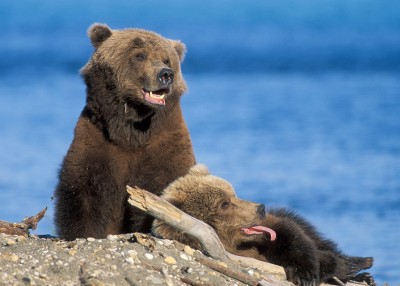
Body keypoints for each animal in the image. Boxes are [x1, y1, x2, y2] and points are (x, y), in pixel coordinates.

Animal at [54, 23, 195, 240]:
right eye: (140, 55)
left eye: (166, 59)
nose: (166, 74)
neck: (131, 132)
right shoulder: (97, 141)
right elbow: (83, 193)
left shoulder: (166, 144)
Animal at [153, 165, 376, 286]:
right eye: (224, 203)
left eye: (233, 193)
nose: (260, 207)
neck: (236, 244)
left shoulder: (270, 229)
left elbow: (292, 237)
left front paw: (306, 273)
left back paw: (362, 266)